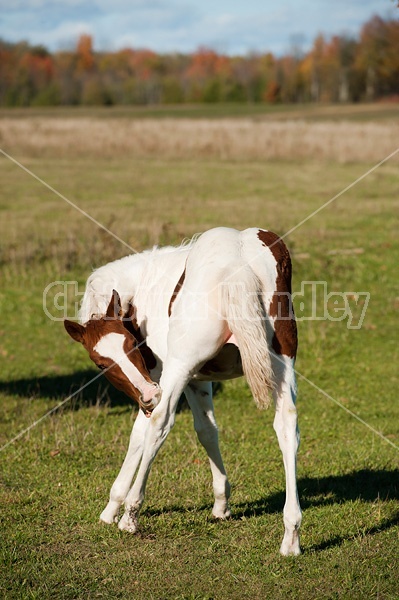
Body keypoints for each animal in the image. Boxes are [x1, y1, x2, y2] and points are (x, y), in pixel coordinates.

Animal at [65, 227, 304, 556]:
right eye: (102, 363)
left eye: (133, 345)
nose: (148, 395)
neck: (142, 289)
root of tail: (236, 260)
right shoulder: (197, 380)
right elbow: (207, 430)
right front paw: (221, 504)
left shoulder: (164, 376)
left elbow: (140, 435)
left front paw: (113, 507)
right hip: (281, 362)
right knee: (287, 426)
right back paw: (291, 534)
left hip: (179, 365)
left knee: (160, 422)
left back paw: (131, 514)